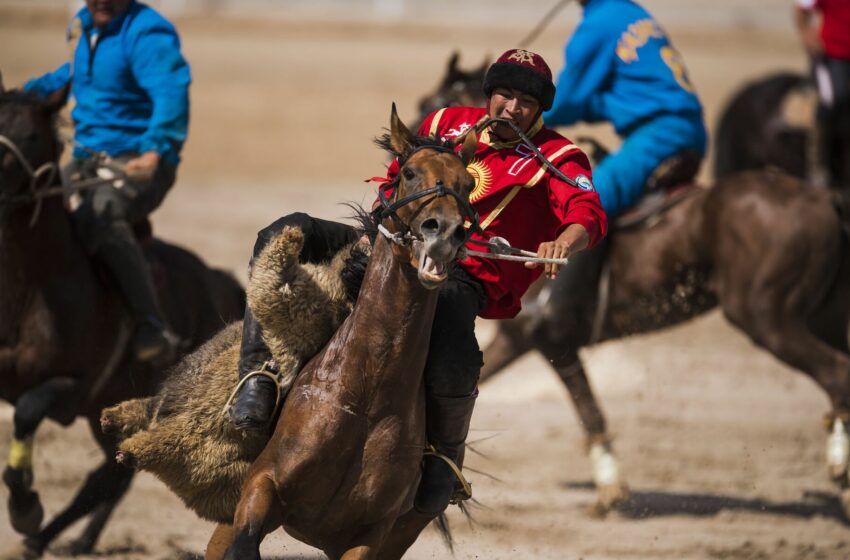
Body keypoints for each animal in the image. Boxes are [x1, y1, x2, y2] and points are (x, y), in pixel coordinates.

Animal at [204, 104, 476, 560]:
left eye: (468, 183)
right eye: (410, 173)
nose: (445, 231)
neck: (365, 395)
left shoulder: (370, 533)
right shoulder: (261, 487)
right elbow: (244, 542)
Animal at [476, 167, 848, 508]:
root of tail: (822, 198)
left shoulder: (550, 340)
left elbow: (589, 409)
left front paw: (611, 487)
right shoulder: (516, 340)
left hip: (765, 319)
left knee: (836, 373)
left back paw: (840, 468)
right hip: (822, 318)